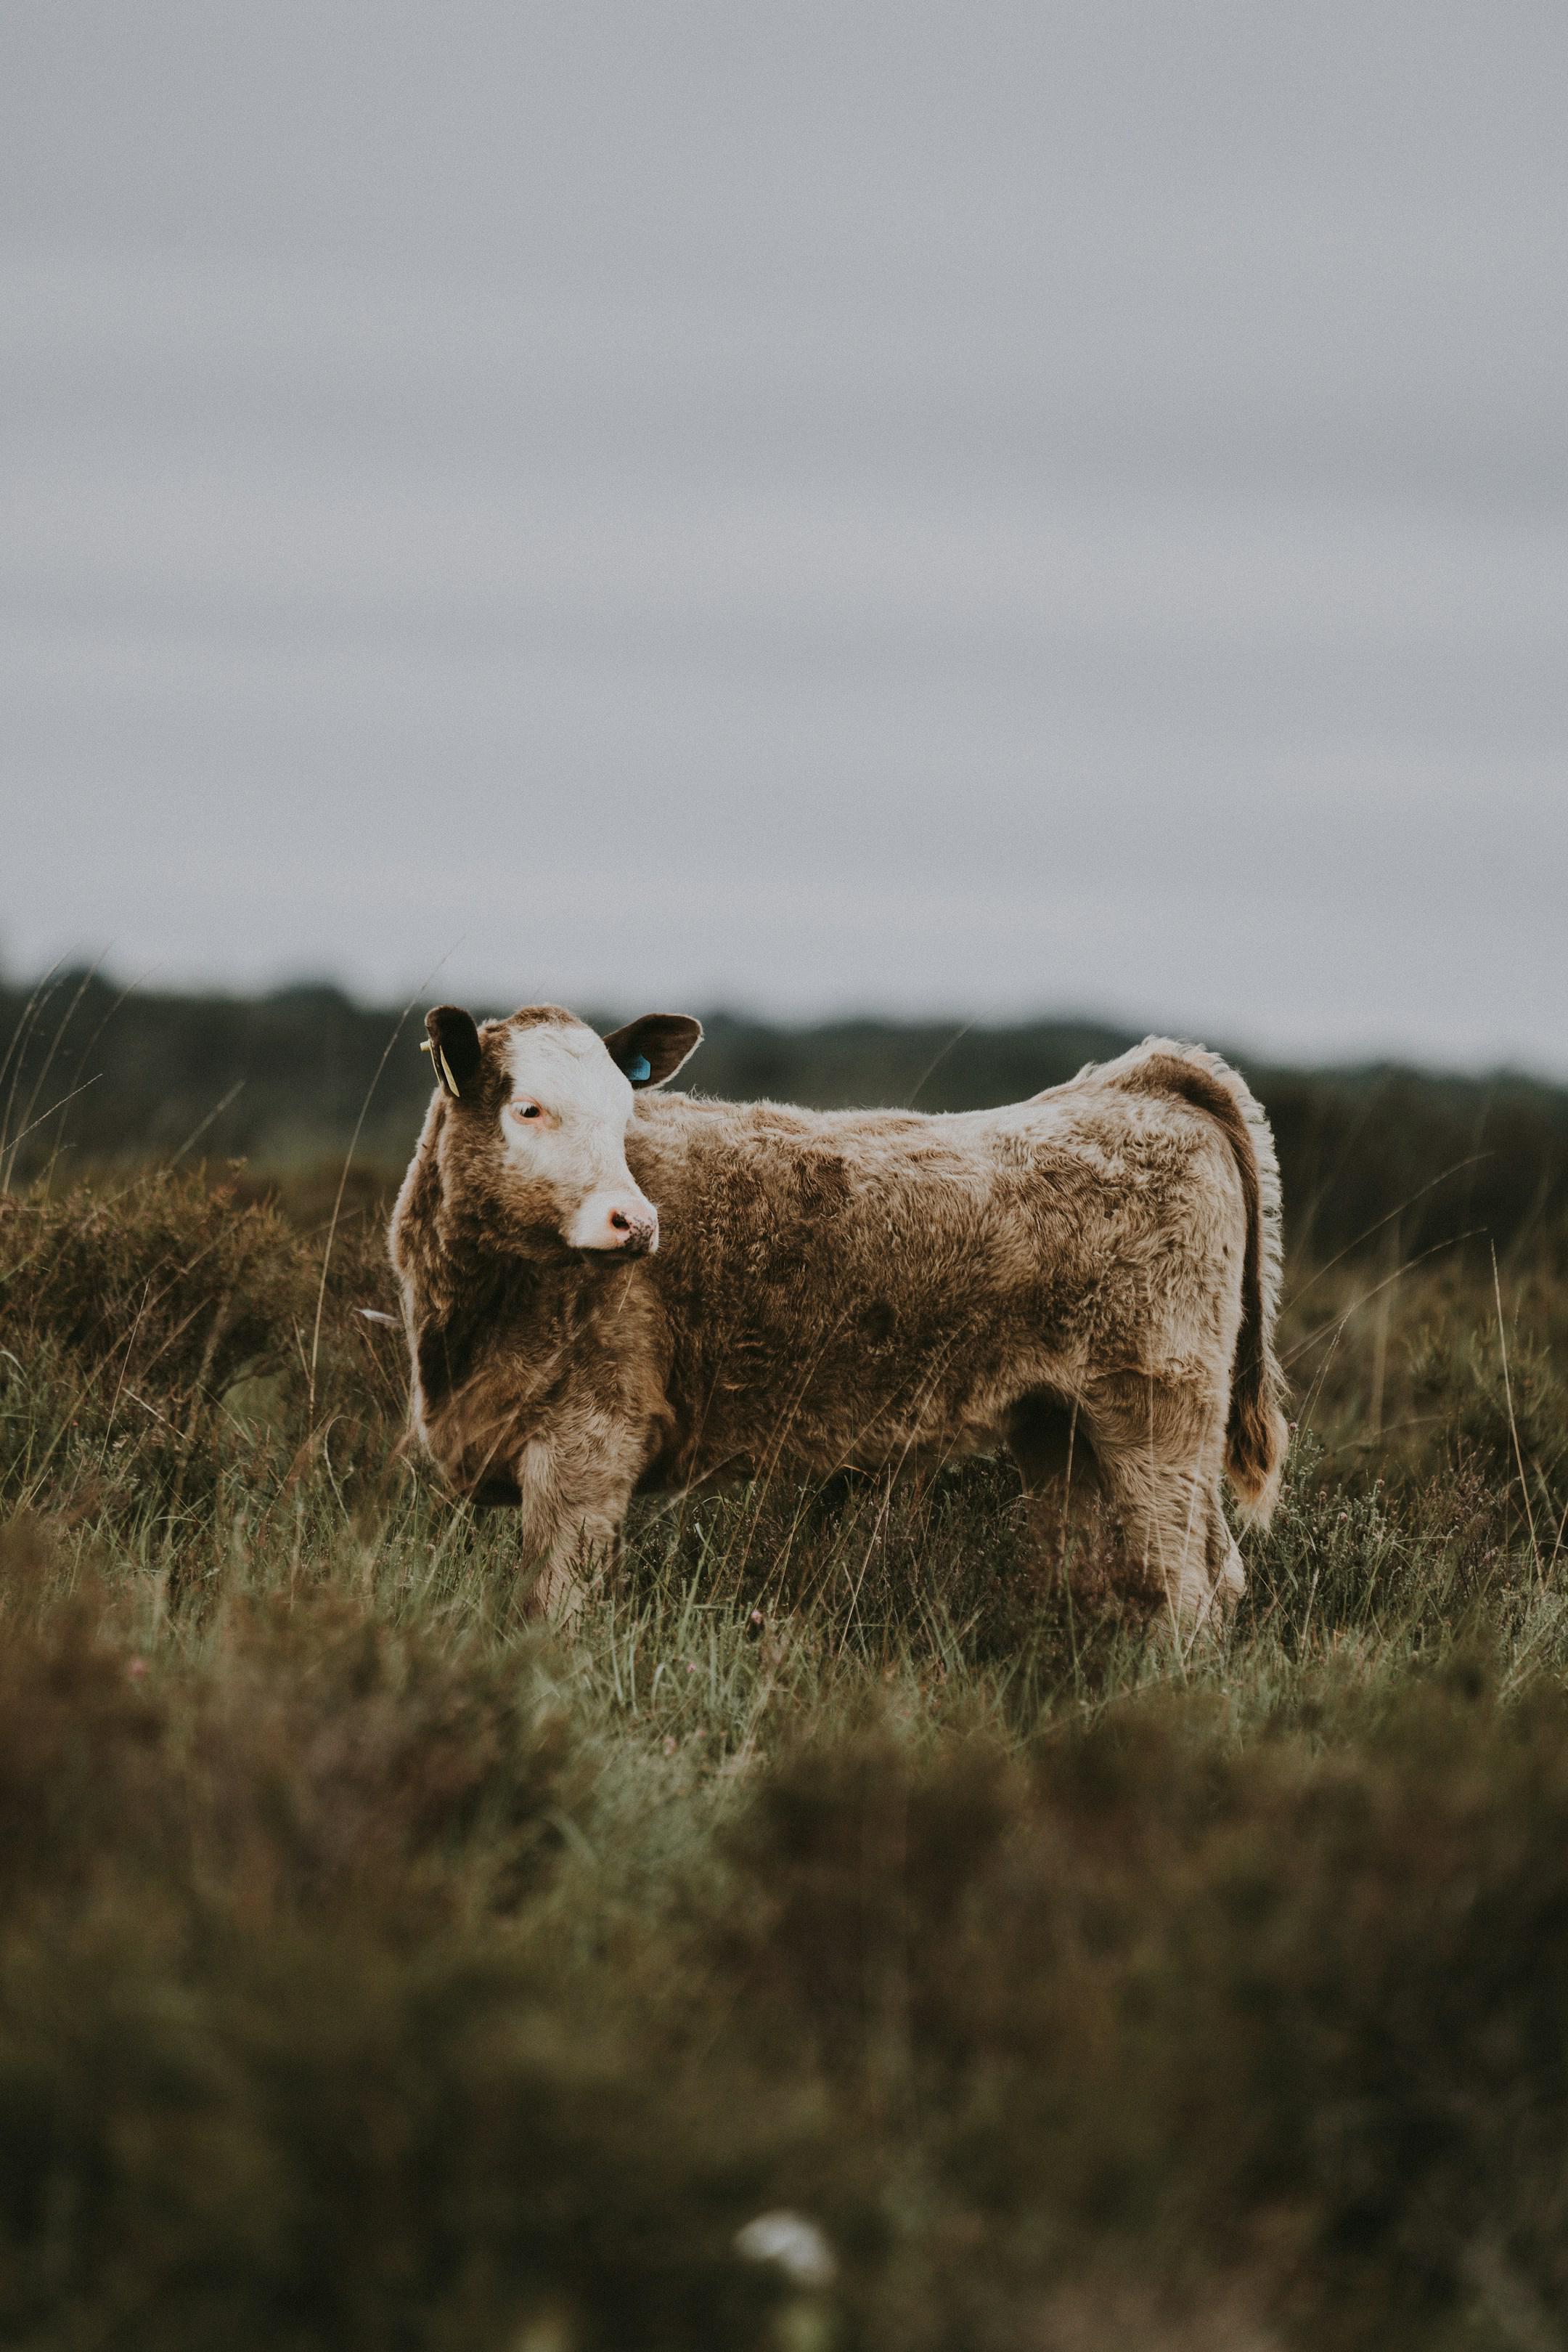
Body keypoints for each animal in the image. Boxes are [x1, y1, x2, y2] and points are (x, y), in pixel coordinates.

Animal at [389, 1004, 1287, 1628]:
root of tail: (1137, 1079)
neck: (464, 1332)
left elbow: (551, 1609)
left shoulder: (588, 1451)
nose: (634, 1222)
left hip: (1158, 1411)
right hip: (1063, 1427)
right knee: (1120, 1571)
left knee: (1187, 1586)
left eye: (624, 1114)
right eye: (529, 1109)